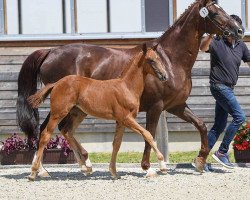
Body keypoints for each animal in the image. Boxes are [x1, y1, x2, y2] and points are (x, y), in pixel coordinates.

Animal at [26, 45, 168, 180]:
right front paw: (162, 164)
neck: (126, 87)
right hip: (58, 113)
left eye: (159, 58)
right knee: (45, 135)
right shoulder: (126, 118)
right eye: (151, 60)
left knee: (67, 131)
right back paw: (34, 172)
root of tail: (56, 83)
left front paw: (114, 172)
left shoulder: (121, 121)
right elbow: (147, 134)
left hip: (78, 113)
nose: (164, 76)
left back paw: (85, 167)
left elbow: (116, 144)